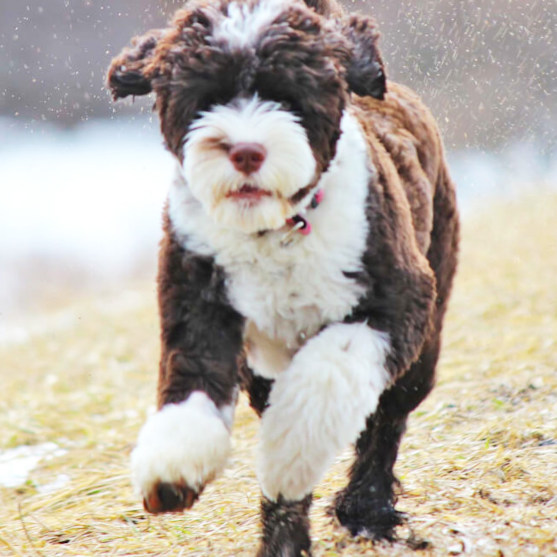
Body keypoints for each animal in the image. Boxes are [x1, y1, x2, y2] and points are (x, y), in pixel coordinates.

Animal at [107, 2, 456, 552]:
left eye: (289, 96)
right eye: (206, 97)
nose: (246, 150)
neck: (275, 231)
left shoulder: (399, 303)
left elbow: (327, 378)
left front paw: (290, 456)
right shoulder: (197, 300)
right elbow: (192, 380)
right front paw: (173, 465)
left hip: (426, 328)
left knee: (387, 417)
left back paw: (366, 506)